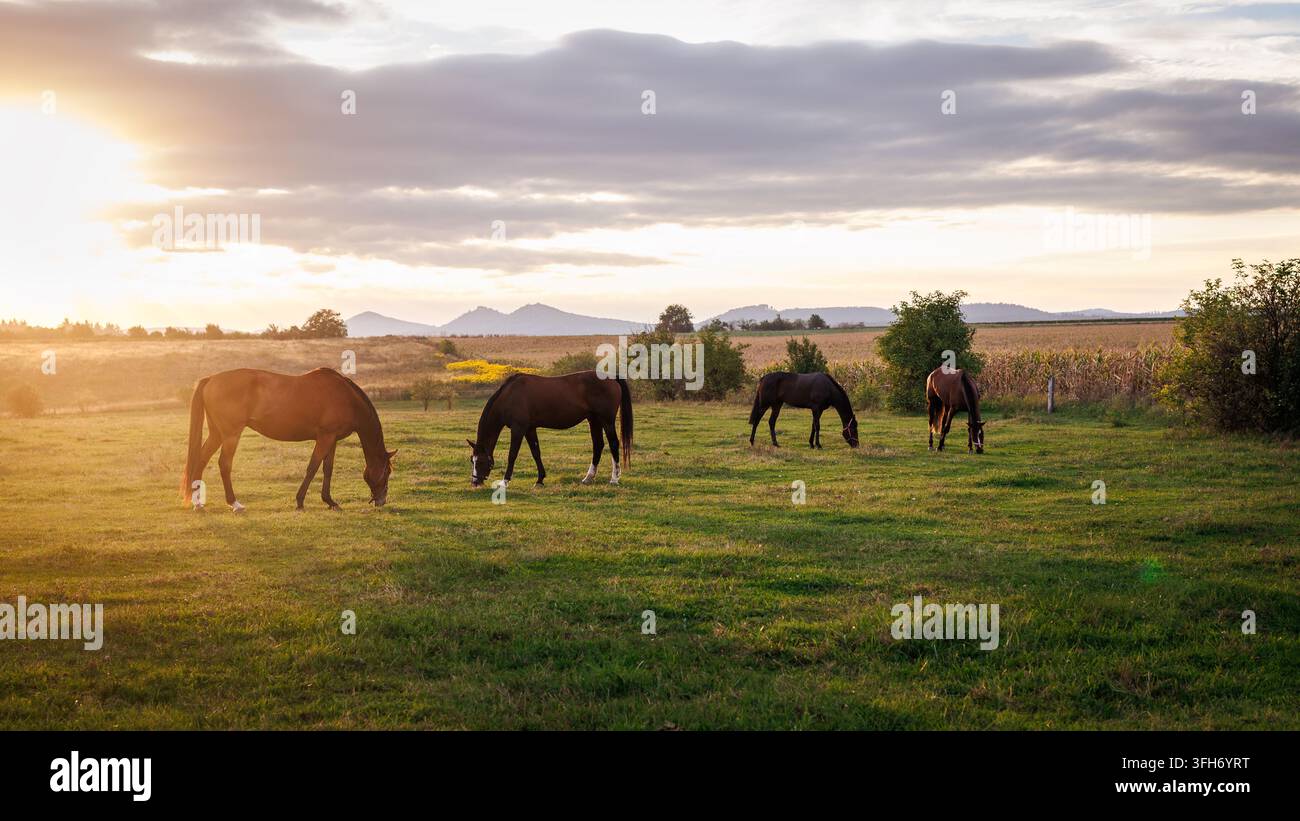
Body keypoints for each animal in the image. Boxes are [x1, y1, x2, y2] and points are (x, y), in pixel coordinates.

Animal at [181, 368, 396, 512]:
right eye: (387, 471)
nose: (381, 500)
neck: (346, 397)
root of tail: (211, 379)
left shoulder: (332, 439)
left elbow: (327, 469)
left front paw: (329, 501)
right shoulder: (325, 437)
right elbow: (312, 467)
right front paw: (300, 501)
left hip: (217, 434)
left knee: (201, 460)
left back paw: (198, 503)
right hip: (231, 435)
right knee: (224, 464)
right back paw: (234, 503)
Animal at [467, 371, 633, 488]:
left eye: (480, 461)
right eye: (471, 461)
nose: (475, 483)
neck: (510, 396)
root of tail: (611, 378)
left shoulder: (518, 428)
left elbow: (512, 455)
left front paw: (505, 481)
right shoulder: (530, 429)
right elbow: (536, 453)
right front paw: (540, 480)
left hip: (607, 421)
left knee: (613, 444)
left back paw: (614, 479)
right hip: (594, 420)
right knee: (598, 445)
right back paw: (588, 478)